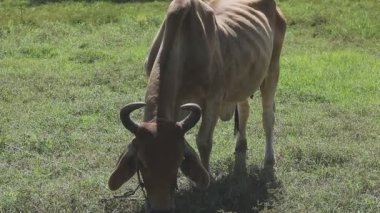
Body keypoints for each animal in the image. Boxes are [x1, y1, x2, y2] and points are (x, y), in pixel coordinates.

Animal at [107, 0, 284, 211]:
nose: (161, 207)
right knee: (244, 110)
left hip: (272, 71)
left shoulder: (213, 99)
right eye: (142, 162)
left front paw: (205, 183)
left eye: (178, 161)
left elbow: (203, 141)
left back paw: (269, 158)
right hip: (243, 83)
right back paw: (241, 145)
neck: (184, 51)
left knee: (268, 117)